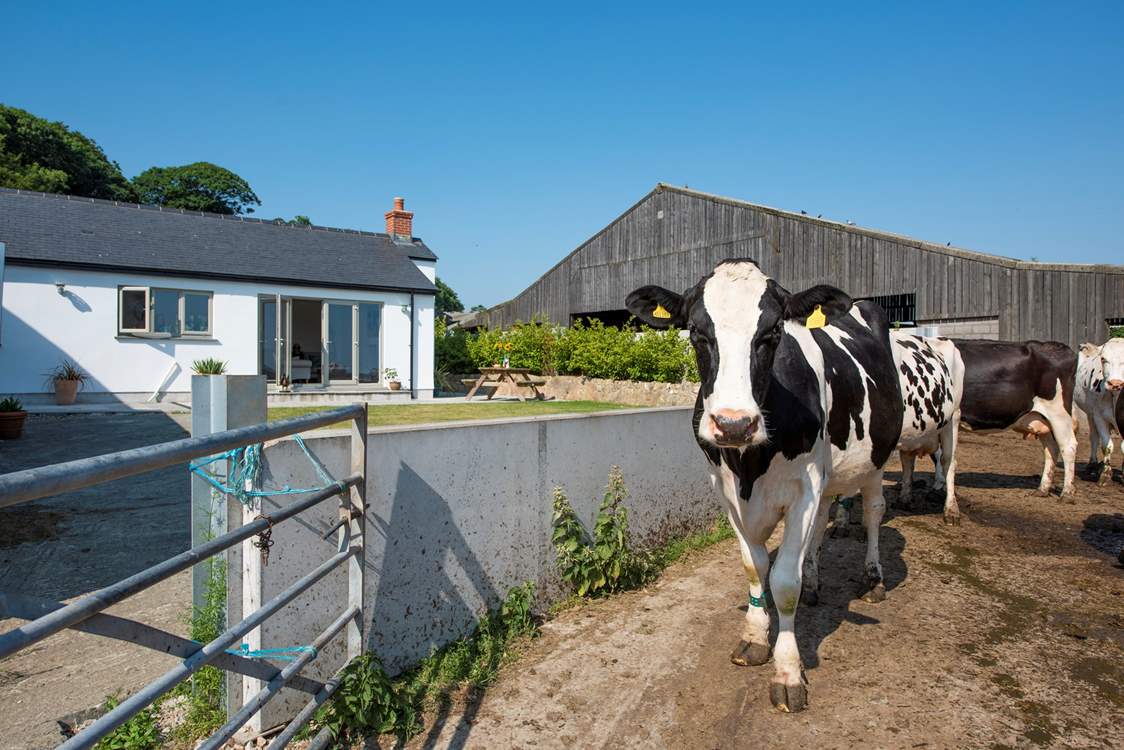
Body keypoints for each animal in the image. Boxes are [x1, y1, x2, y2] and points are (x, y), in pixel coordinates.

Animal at [626, 259, 904, 713]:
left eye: (772, 333)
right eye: (697, 332)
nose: (734, 423)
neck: (749, 465)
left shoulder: (805, 485)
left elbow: (784, 581)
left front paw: (788, 671)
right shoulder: (725, 488)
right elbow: (754, 567)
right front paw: (755, 637)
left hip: (878, 457)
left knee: (874, 512)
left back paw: (873, 577)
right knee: (822, 523)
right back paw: (814, 581)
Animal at [951, 339, 1078, 498]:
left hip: (1059, 415)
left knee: (1068, 446)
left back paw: (1067, 492)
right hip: (1043, 418)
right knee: (1051, 448)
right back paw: (1043, 489)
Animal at [1075, 339, 1124, 484]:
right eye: (1103, 359)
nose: (1115, 383)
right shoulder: (1099, 417)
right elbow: (1107, 446)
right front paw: (1105, 474)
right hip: (1090, 414)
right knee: (1094, 438)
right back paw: (1092, 466)